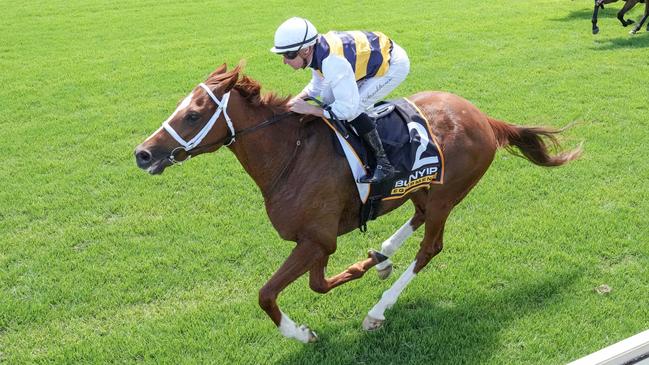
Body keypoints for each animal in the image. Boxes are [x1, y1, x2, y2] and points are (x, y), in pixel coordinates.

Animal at [134, 64, 580, 342]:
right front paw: (365, 266)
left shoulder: (316, 240)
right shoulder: (317, 241)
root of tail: (485, 119)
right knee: (418, 218)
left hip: (447, 194)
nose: (142, 153)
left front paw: (301, 333)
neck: (290, 155)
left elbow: (268, 293)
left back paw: (378, 310)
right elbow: (317, 283)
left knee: (430, 247)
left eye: (194, 115)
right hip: (422, 189)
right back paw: (381, 255)